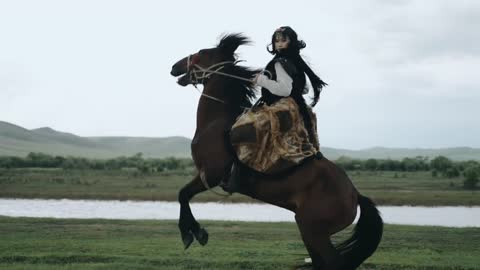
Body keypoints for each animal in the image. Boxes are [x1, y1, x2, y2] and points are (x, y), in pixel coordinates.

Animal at [169, 34, 382, 270]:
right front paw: (194, 232)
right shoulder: (206, 174)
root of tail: (354, 195)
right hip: (311, 231)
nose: (174, 67)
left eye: (201, 53)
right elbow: (183, 195)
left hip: (312, 230)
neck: (215, 123)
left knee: (334, 263)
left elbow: (183, 194)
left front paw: (192, 233)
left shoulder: (212, 174)